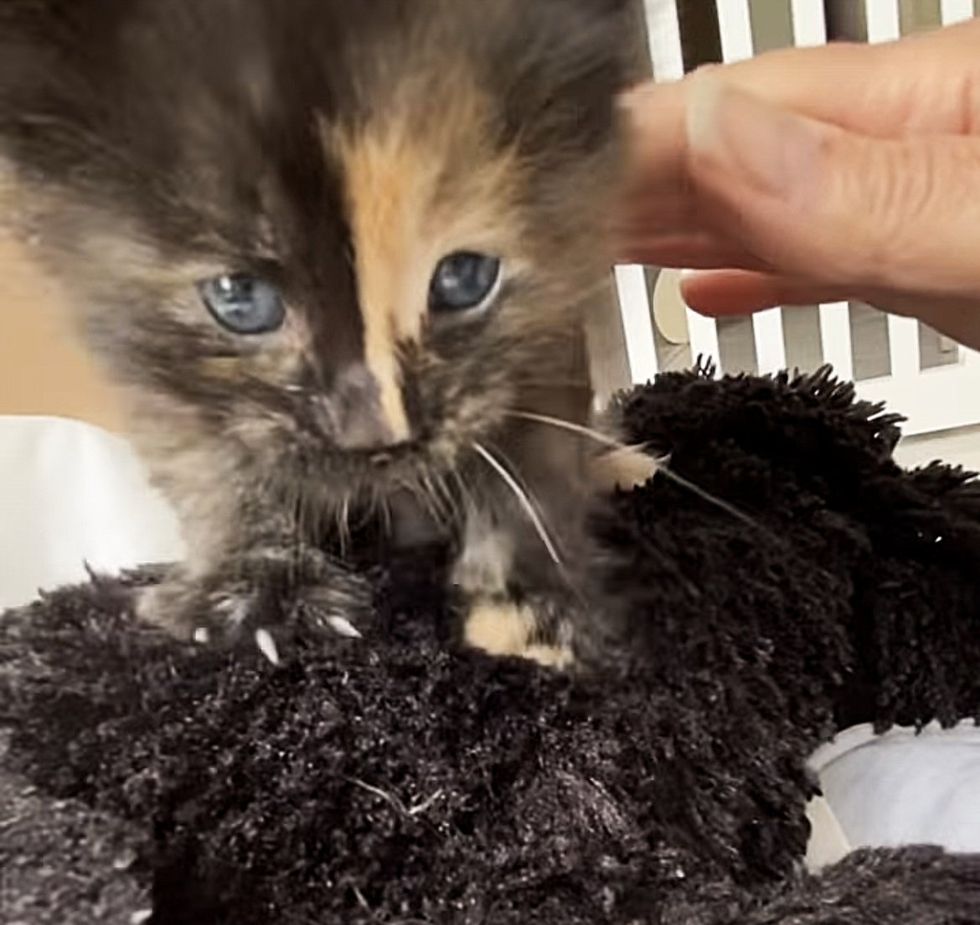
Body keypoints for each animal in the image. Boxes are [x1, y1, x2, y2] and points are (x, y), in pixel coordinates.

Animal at [0, 0, 648, 664]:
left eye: (465, 277)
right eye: (238, 298)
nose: (379, 439)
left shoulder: (550, 309)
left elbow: (540, 451)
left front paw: (534, 603)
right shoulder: (148, 367)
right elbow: (204, 459)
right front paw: (252, 587)